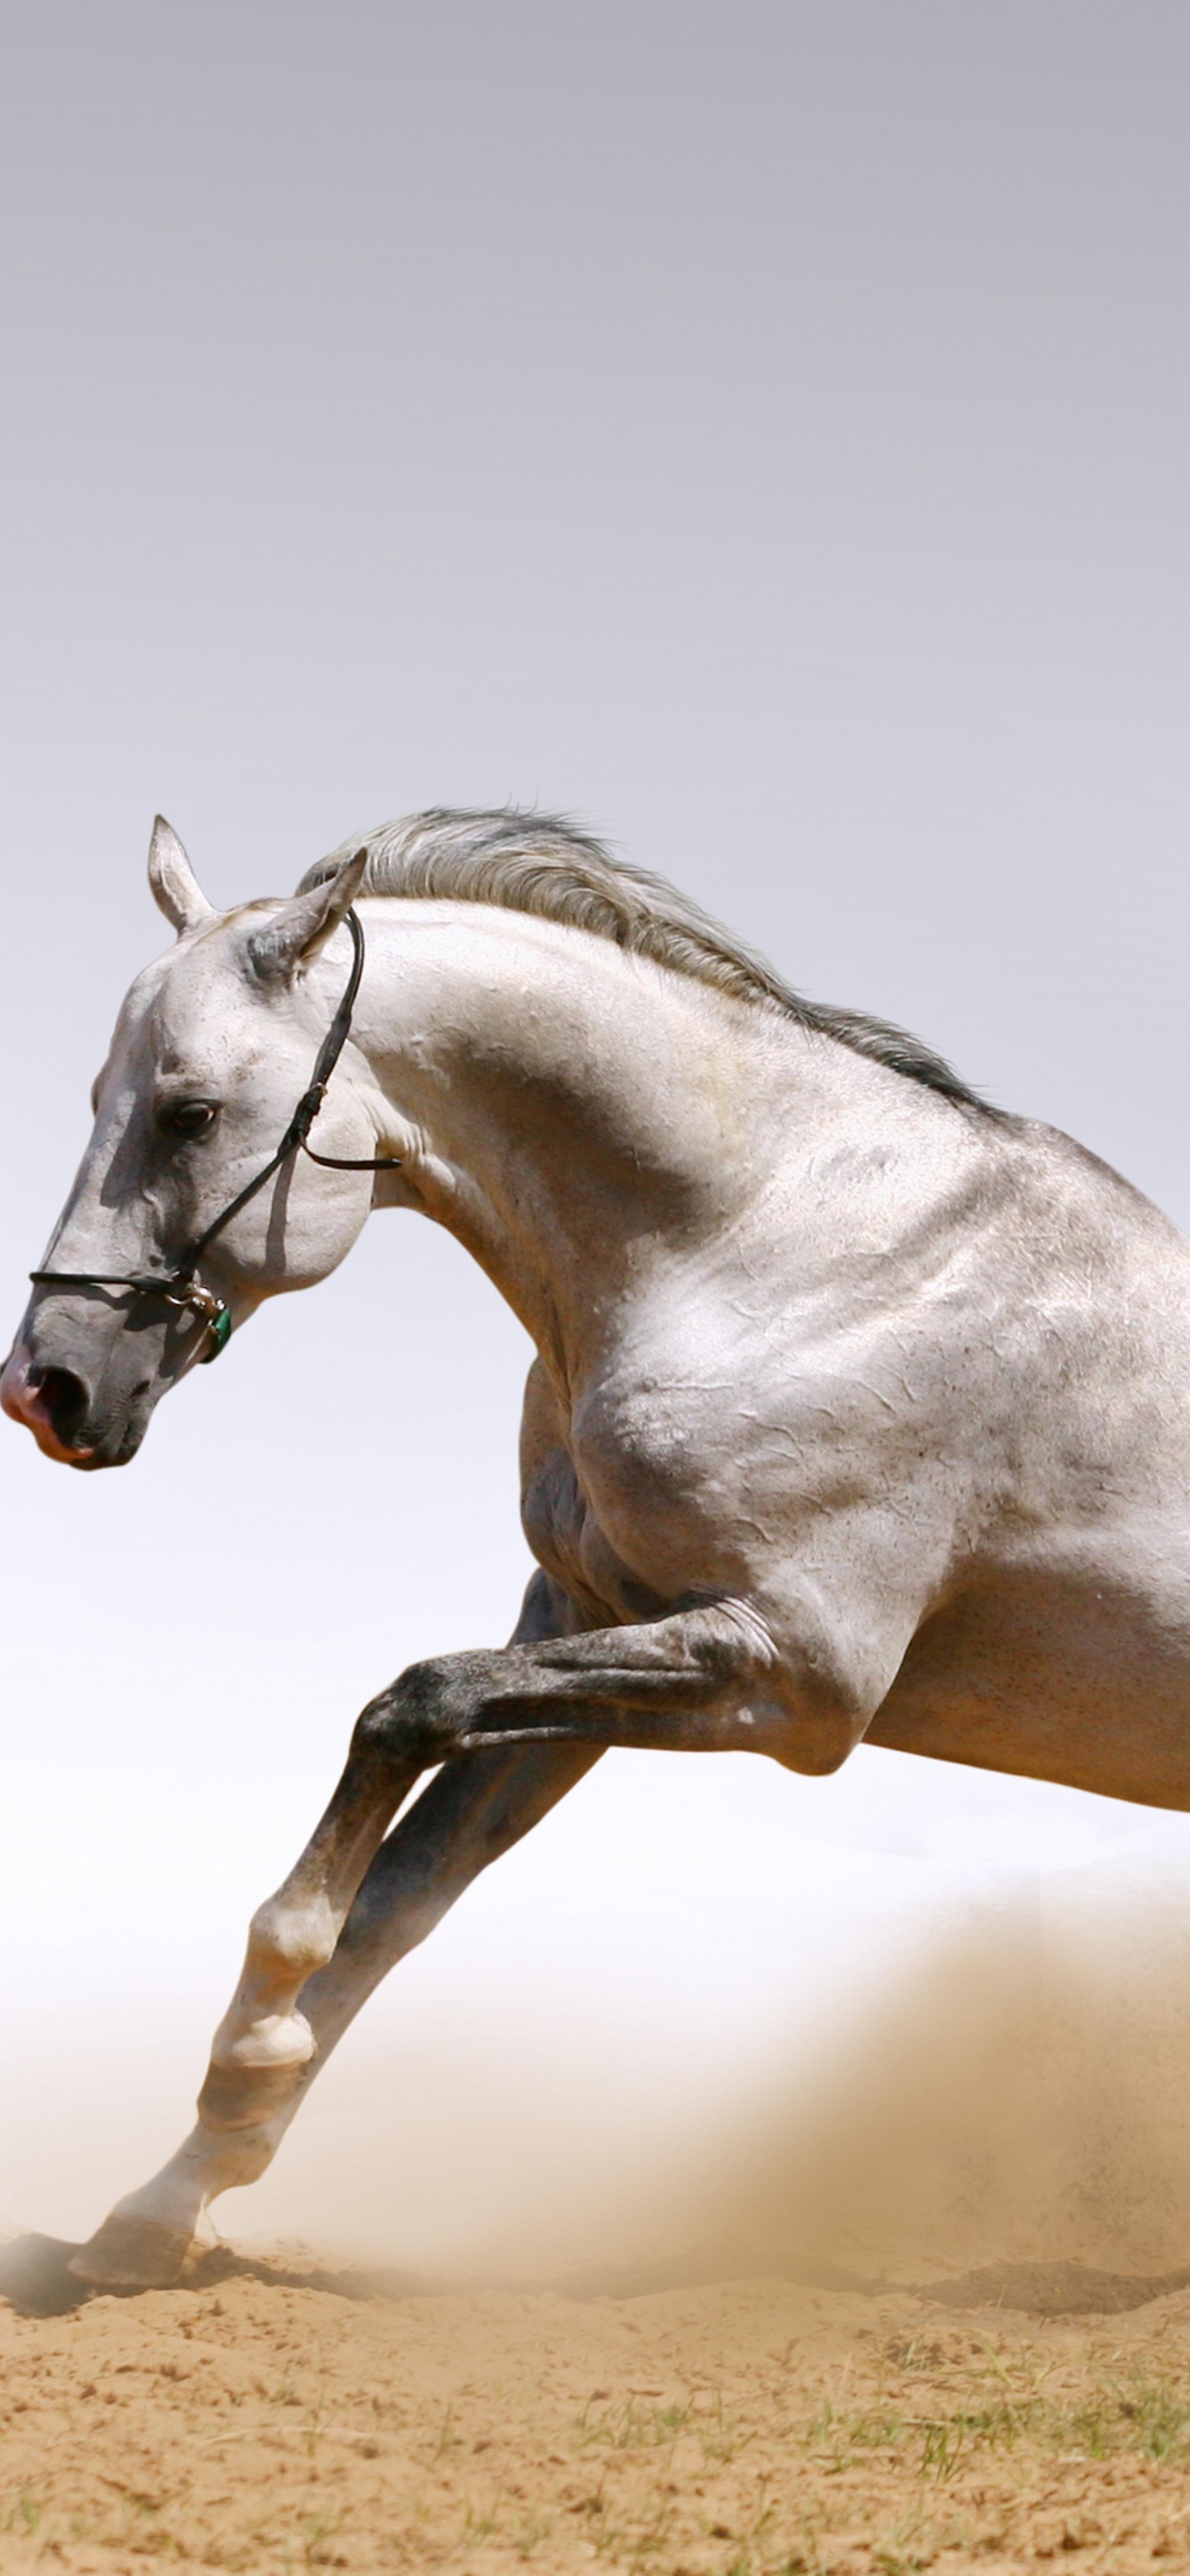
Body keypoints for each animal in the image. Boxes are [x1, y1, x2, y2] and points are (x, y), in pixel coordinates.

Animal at [5, 807, 1190, 2289]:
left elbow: (404, 1711)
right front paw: (163, 2205)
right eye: (97, 1100)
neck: (769, 1251)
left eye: (190, 1112)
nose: (46, 1388)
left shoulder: (793, 1677)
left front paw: (255, 2033)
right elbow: (397, 1899)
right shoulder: (582, 1630)